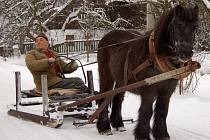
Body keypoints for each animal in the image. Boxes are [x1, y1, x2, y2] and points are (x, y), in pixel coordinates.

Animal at [97, 4, 199, 140]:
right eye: (178, 24)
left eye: (195, 27)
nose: (186, 54)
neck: (157, 57)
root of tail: (105, 38)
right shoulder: (148, 90)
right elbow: (146, 111)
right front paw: (143, 135)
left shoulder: (167, 91)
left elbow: (162, 111)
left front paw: (162, 135)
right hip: (106, 76)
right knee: (103, 98)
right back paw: (104, 128)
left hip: (122, 80)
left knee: (117, 98)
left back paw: (118, 124)